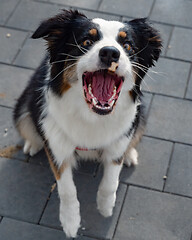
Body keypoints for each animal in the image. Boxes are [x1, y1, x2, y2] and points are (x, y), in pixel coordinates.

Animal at [12, 9, 161, 238]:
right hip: (23, 105)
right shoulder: (58, 146)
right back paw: (33, 143)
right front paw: (70, 222)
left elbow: (111, 179)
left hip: (141, 116)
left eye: (127, 46)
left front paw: (105, 207)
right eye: (87, 41)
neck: (92, 116)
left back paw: (130, 154)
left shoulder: (118, 139)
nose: (110, 53)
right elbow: (67, 189)